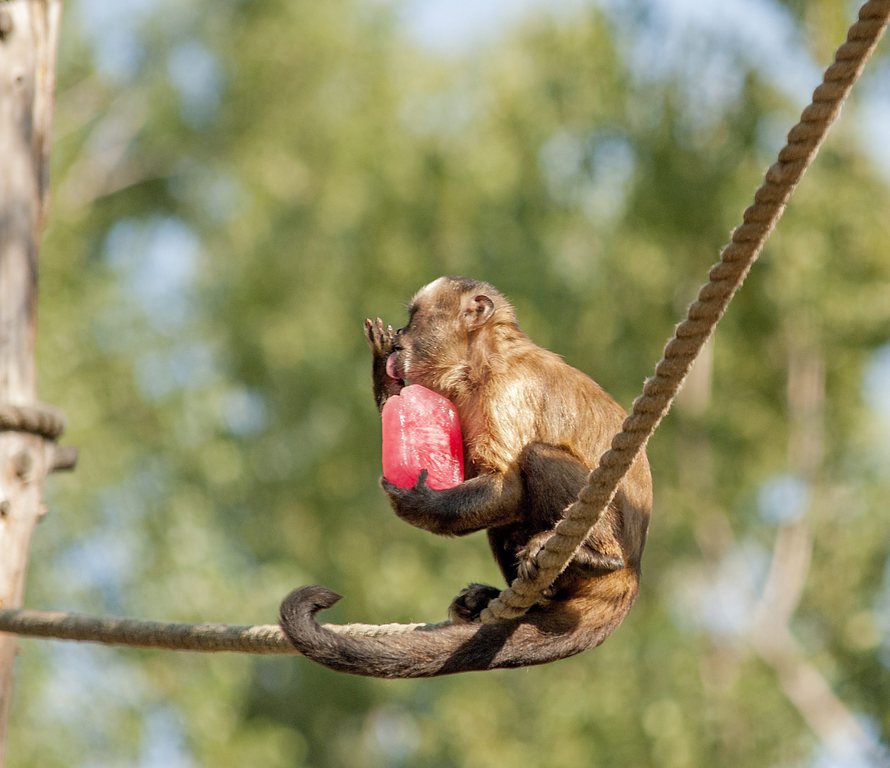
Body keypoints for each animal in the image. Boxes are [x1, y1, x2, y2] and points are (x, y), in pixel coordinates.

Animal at [280, 278, 648, 680]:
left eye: (414, 318)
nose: (401, 337)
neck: (481, 362)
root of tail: (633, 573)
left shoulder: (508, 388)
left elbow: (508, 486)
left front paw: (419, 504)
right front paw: (382, 368)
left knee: (538, 457)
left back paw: (598, 557)